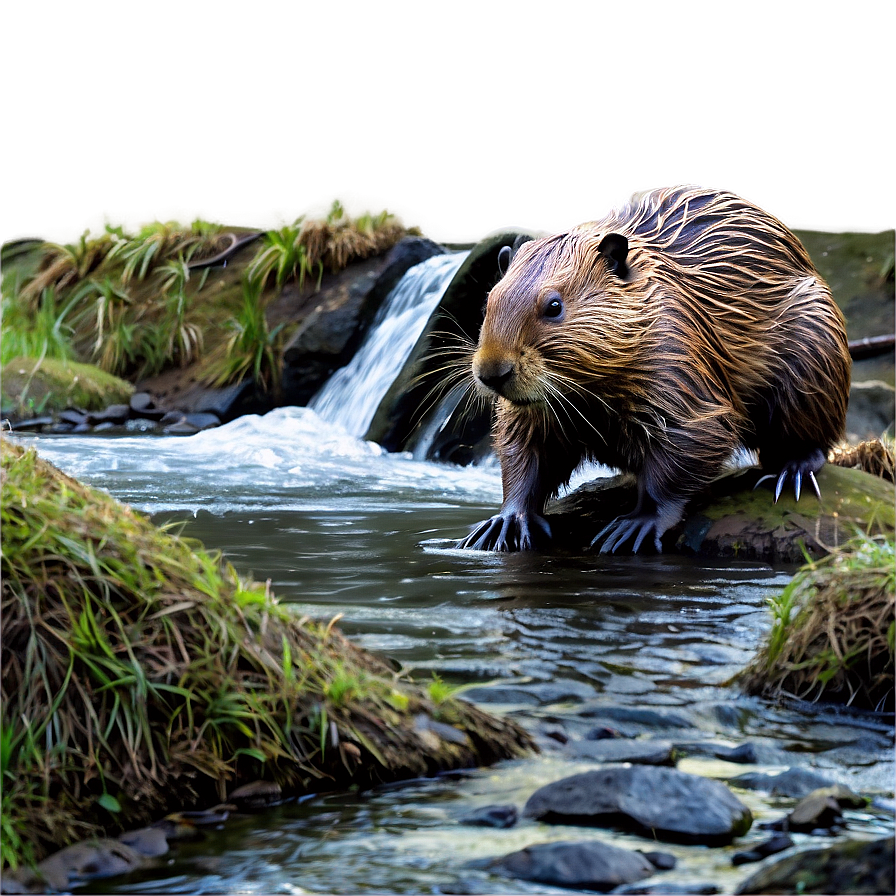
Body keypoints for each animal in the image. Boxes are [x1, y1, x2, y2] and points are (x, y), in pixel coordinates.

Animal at [458, 186, 852, 552]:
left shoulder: (676, 360)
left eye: (554, 306)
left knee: (811, 439)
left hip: (816, 345)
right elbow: (523, 452)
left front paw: (634, 527)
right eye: (489, 301)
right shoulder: (537, 412)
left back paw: (791, 474)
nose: (493, 372)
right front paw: (502, 523)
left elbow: (693, 440)